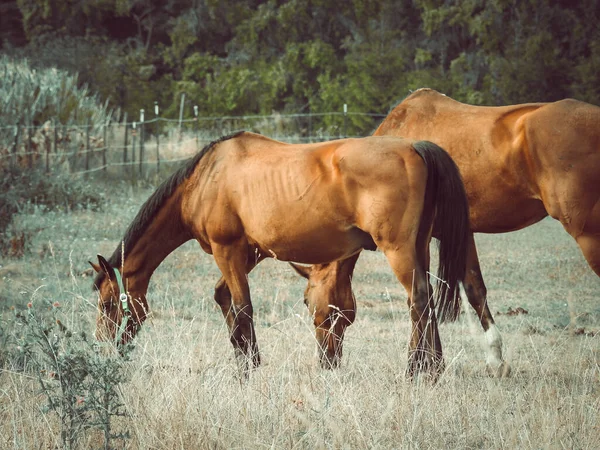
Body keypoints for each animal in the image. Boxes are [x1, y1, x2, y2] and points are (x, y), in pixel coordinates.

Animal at [91, 131, 472, 380]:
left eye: (108, 304)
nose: (106, 347)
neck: (205, 179)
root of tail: (413, 147)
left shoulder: (227, 249)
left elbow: (242, 306)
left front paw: (247, 369)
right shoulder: (249, 253)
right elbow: (225, 298)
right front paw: (245, 359)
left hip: (399, 251)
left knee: (418, 300)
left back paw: (416, 371)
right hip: (419, 249)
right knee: (427, 302)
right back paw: (434, 366)